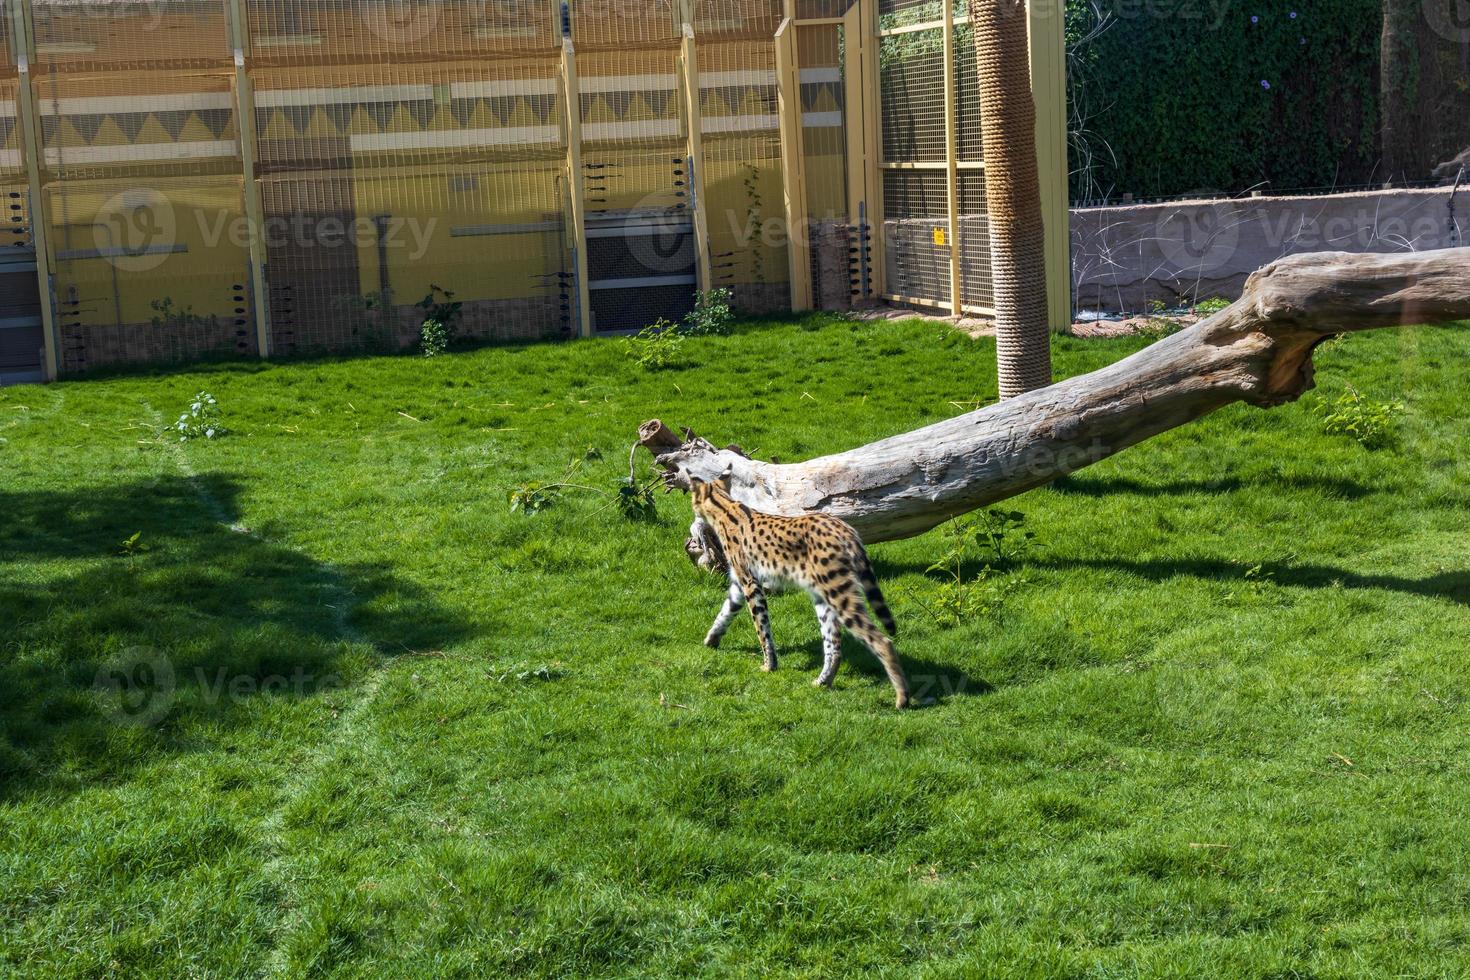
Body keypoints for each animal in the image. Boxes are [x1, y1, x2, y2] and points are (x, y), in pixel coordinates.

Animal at [687, 473, 905, 708]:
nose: (694, 511)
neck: (725, 507)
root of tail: (845, 528)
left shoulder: (751, 584)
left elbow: (761, 628)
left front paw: (769, 665)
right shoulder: (739, 584)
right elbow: (725, 612)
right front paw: (711, 639)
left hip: (838, 593)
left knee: (881, 641)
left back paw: (902, 696)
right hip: (824, 596)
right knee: (834, 646)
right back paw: (823, 681)